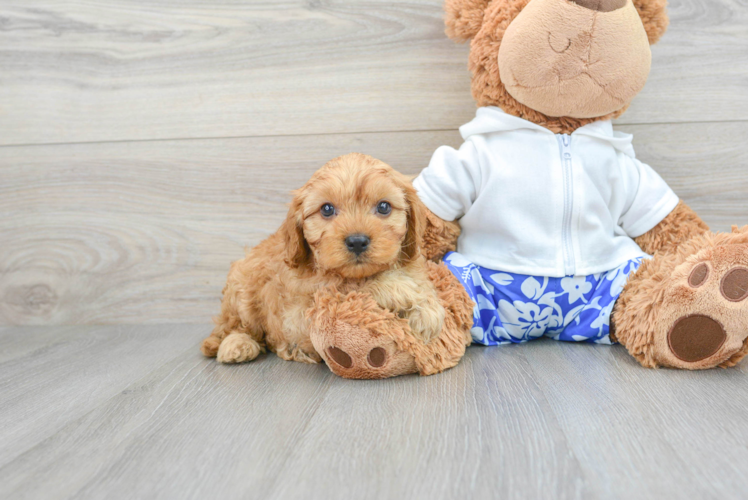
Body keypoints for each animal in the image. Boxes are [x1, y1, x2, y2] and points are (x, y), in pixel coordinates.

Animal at [200, 151, 444, 364]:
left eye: (384, 206)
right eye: (327, 209)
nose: (357, 241)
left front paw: (426, 308)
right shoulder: (301, 313)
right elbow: (351, 287)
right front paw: (405, 294)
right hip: (241, 289)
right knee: (232, 327)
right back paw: (237, 345)